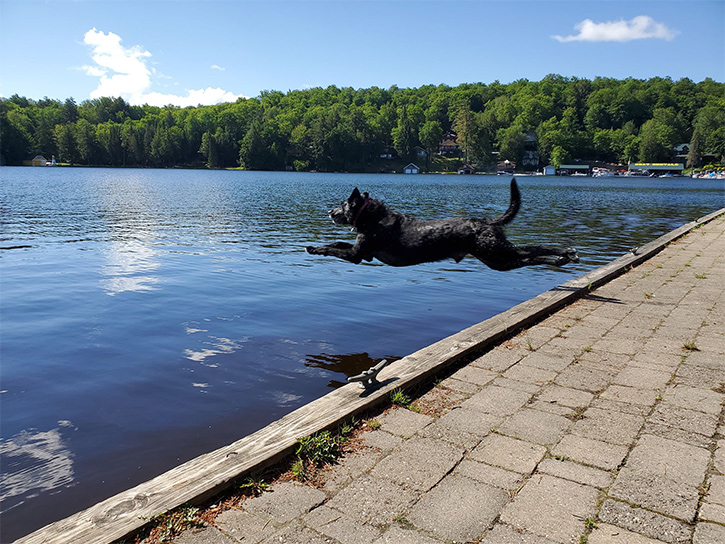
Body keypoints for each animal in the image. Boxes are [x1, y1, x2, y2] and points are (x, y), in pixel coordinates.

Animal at [306, 178, 576, 272]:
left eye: (342, 204)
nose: (329, 212)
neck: (371, 217)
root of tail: (487, 221)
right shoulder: (360, 250)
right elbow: (335, 243)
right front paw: (313, 247)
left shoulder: (357, 255)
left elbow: (333, 249)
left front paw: (315, 249)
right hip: (496, 255)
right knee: (531, 249)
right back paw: (566, 253)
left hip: (496, 255)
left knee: (529, 254)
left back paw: (558, 259)